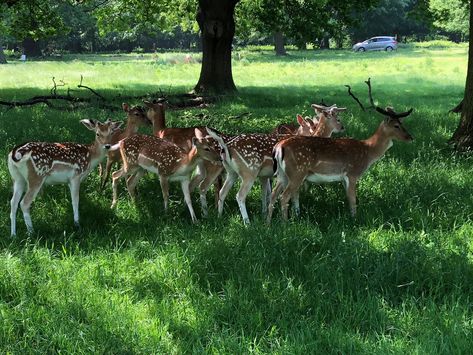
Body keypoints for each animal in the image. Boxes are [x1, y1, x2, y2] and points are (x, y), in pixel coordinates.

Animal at [208, 103, 344, 225]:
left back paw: (219, 217)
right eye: (337, 117)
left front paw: (269, 215)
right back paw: (247, 223)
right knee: (240, 195)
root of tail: (225, 145)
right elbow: (290, 194)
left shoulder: (267, 176)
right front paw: (294, 215)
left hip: (232, 172)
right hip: (249, 170)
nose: (342, 127)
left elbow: (269, 194)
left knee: (222, 192)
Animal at [266, 106, 412, 222]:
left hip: (282, 174)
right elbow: (353, 199)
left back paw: (268, 223)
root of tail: (278, 147)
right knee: (284, 196)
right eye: (396, 125)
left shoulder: (343, 178)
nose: (410, 137)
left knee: (273, 194)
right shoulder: (352, 173)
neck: (368, 151)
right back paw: (285, 224)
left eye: (402, 123)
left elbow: (348, 198)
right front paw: (354, 220)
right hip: (297, 172)